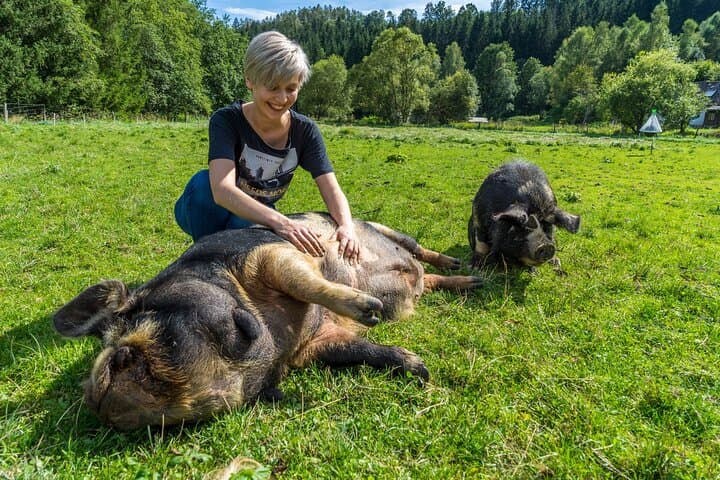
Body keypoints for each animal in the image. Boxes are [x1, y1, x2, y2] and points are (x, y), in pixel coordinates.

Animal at [54, 212, 482, 431]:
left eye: (122, 354)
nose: (100, 398)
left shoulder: (268, 255)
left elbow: (306, 279)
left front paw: (371, 309)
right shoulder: (317, 344)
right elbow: (363, 350)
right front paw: (418, 367)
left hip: (388, 230)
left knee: (420, 251)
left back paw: (464, 268)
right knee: (428, 279)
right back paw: (467, 282)